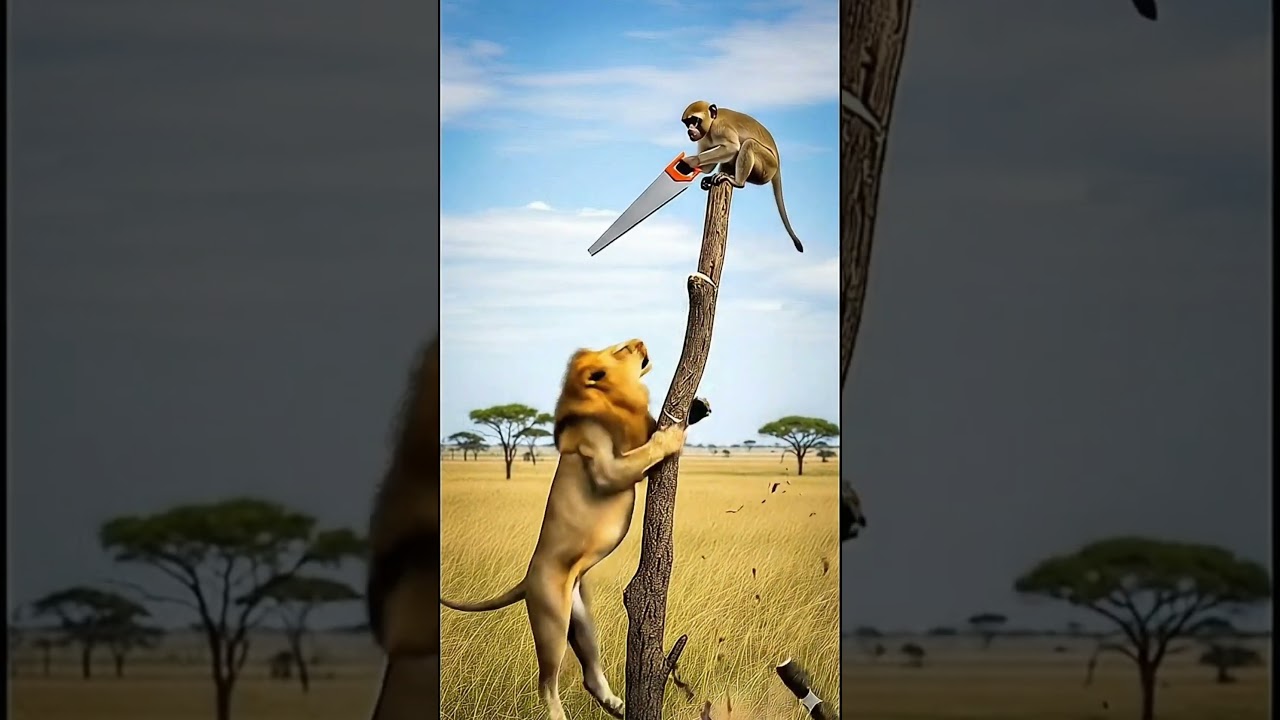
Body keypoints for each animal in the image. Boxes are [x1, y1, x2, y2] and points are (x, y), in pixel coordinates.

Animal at [440, 338, 710, 720]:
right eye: (622, 349)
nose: (641, 341)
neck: (614, 400)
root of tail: (526, 580)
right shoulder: (605, 464)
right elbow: (643, 453)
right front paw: (671, 437)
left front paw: (697, 408)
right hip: (551, 618)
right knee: (546, 681)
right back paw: (559, 713)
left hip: (579, 617)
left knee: (588, 672)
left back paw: (614, 704)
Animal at [680, 100, 804, 252]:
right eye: (688, 123)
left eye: (695, 120)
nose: (690, 130)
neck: (712, 124)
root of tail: (778, 166)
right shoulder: (704, 137)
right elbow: (708, 167)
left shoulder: (720, 128)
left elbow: (732, 148)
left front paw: (691, 161)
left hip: (767, 168)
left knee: (748, 145)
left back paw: (737, 181)